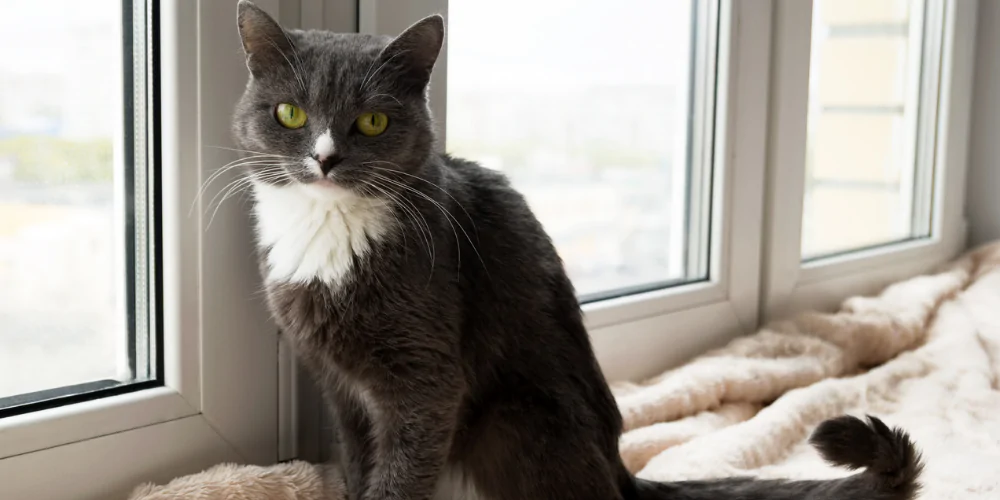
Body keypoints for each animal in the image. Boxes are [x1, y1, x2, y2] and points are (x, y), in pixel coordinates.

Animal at [232, 1, 920, 498]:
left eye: (372, 121)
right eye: (290, 114)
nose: (325, 158)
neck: (327, 233)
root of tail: (618, 468)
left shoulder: (427, 379)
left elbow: (403, 470)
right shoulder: (339, 385)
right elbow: (357, 460)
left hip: (518, 417)